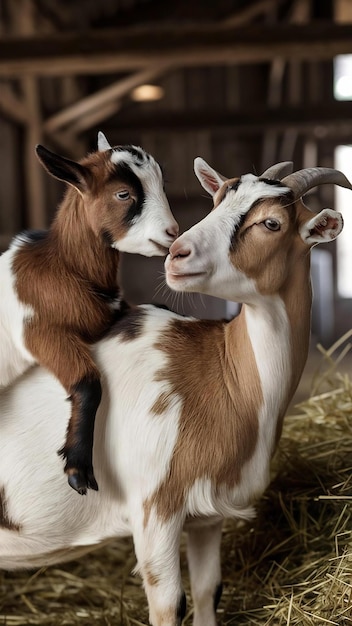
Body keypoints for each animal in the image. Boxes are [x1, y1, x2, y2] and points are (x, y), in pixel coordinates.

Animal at [0, 132, 177, 492]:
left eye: (162, 185)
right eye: (123, 194)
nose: (173, 231)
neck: (64, 268)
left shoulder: (111, 312)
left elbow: (153, 306)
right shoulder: (39, 331)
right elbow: (87, 383)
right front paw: (77, 466)